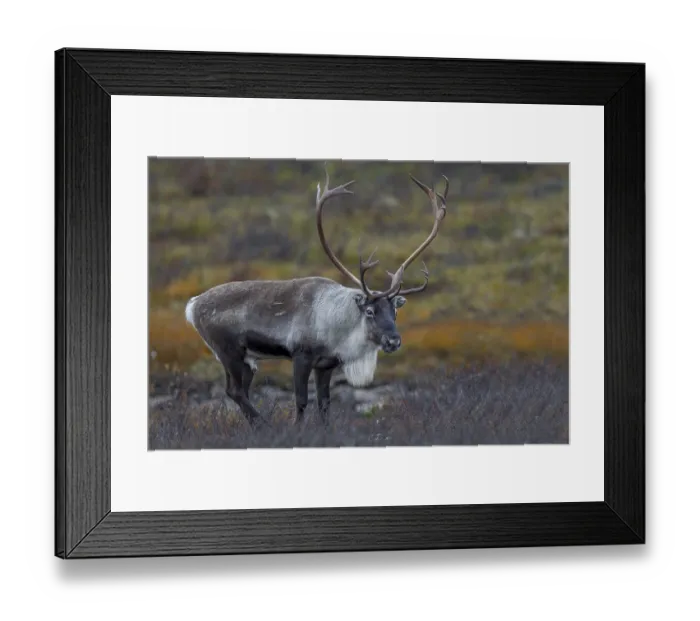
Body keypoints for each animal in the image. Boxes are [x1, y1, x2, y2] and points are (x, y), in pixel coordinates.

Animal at [185, 167, 448, 429]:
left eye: (395, 311)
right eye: (370, 311)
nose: (393, 341)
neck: (338, 325)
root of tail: (193, 304)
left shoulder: (326, 365)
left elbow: (324, 404)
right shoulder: (301, 356)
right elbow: (301, 400)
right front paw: (297, 430)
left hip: (248, 359)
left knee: (241, 390)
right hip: (229, 352)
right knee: (235, 390)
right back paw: (266, 426)